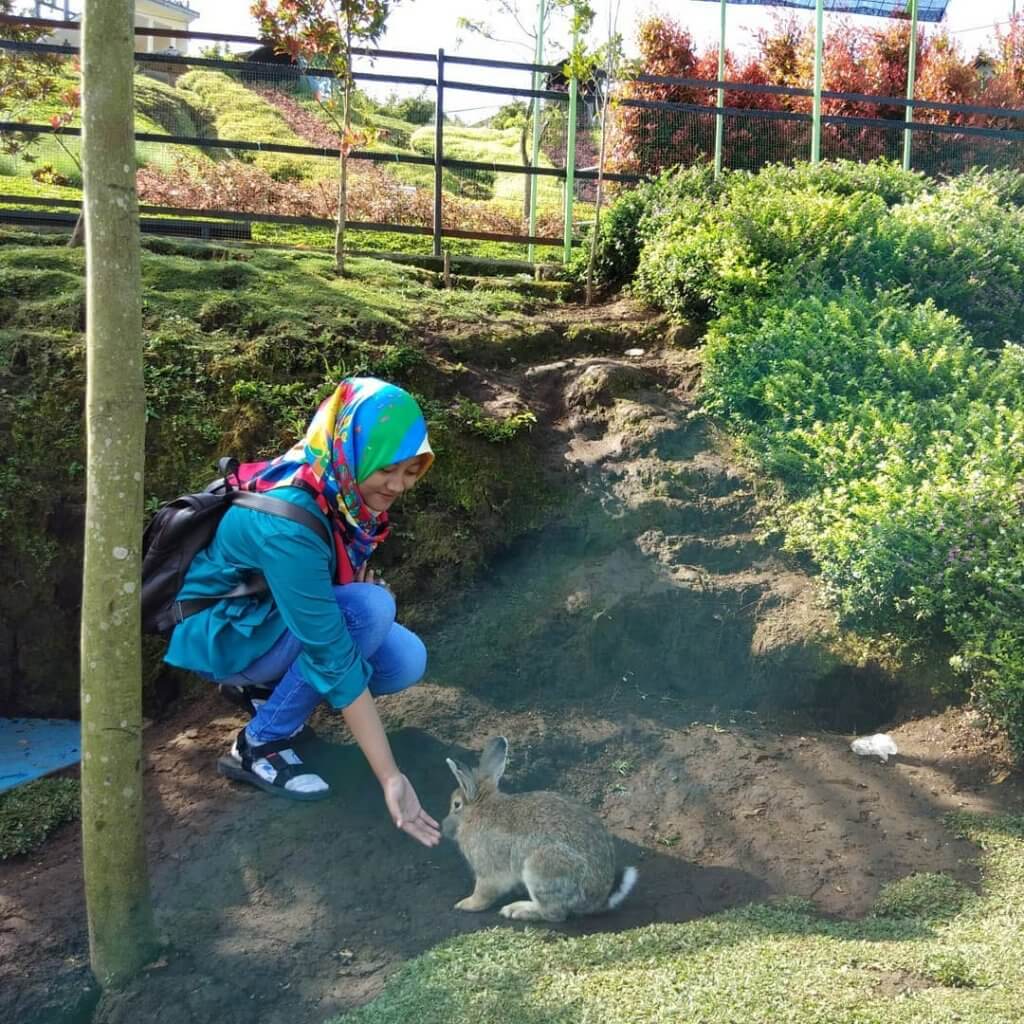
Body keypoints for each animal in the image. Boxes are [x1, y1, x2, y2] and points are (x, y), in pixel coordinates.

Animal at [442, 733, 634, 925]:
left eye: (456, 805)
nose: (443, 827)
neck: (478, 811)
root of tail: (596, 901)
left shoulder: (487, 869)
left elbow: (483, 893)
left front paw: (466, 904)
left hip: (542, 868)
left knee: (554, 914)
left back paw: (517, 910)